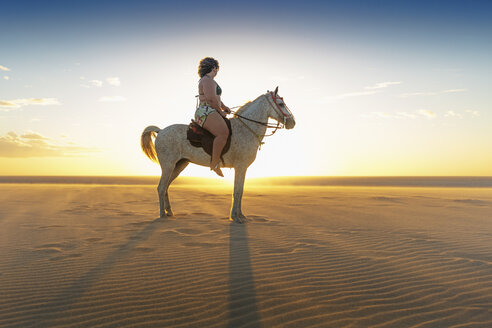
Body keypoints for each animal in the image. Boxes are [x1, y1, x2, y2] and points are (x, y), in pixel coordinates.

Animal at [142, 88, 296, 223]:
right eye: (281, 104)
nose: (292, 122)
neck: (246, 129)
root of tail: (161, 131)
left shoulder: (243, 168)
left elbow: (240, 191)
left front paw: (241, 215)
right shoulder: (240, 167)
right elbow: (237, 191)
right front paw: (236, 217)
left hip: (179, 165)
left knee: (166, 187)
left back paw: (169, 212)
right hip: (168, 166)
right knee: (161, 187)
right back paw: (162, 215)